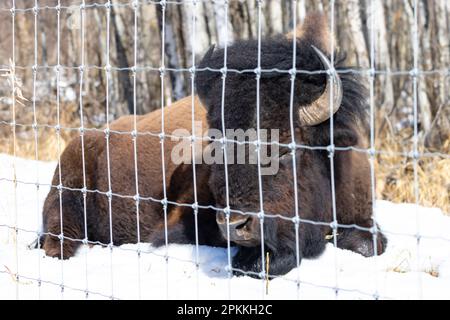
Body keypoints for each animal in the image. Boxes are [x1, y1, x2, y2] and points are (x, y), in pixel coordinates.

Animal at [40, 13, 386, 278]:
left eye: (287, 148)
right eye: (217, 144)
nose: (235, 225)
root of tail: (88, 138)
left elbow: (370, 244)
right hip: (65, 203)